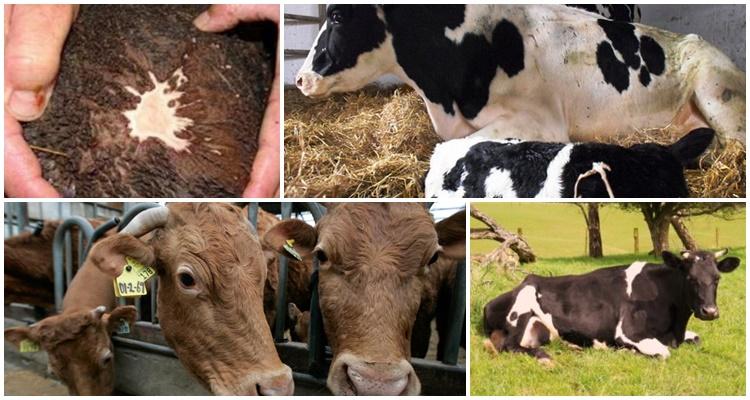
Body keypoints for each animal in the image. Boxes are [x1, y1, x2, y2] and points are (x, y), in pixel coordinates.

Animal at [481, 249, 741, 365]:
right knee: (510, 345)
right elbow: (663, 353)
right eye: (690, 278)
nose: (710, 311)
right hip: (522, 306)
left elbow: (696, 339)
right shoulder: (629, 332)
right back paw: (545, 358)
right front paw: (626, 351)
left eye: (717, 278)